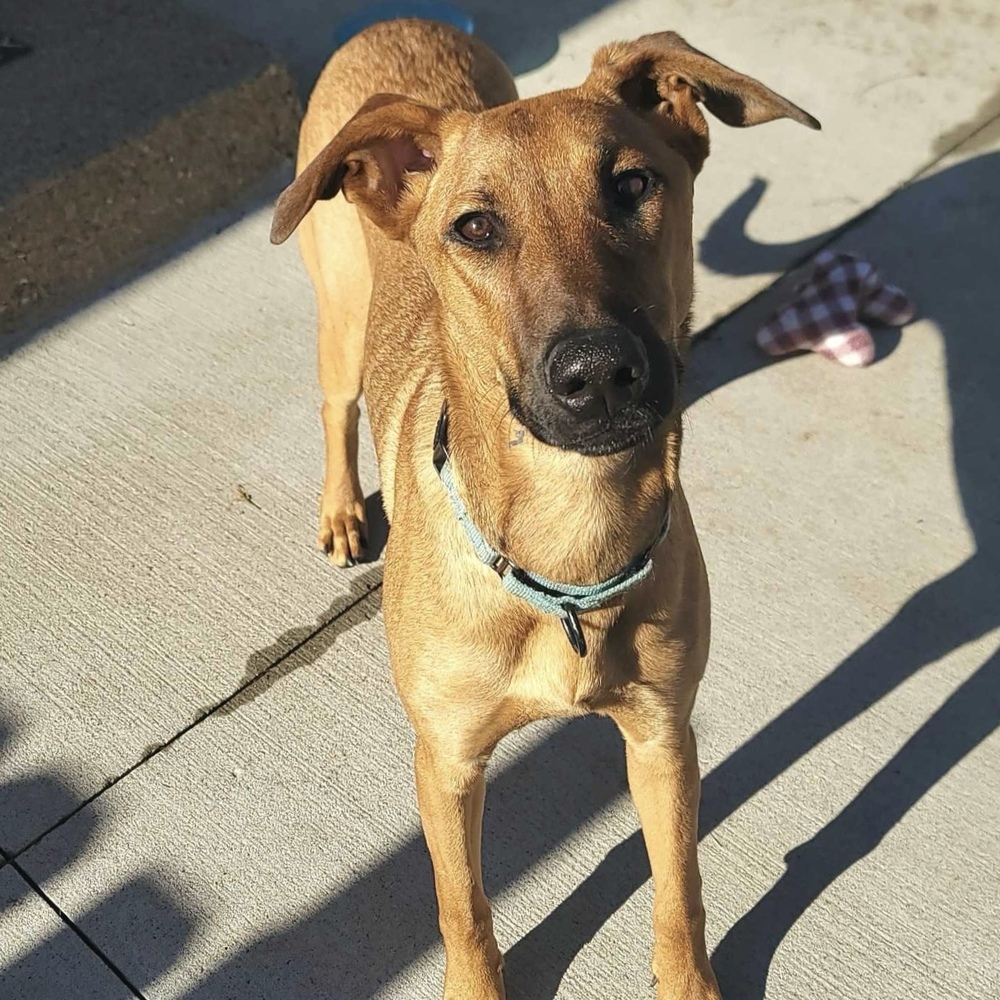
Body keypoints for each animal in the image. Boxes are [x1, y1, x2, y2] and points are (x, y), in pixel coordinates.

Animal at [270, 17, 816, 1000]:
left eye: (633, 184)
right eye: (475, 227)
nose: (598, 373)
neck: (571, 543)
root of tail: (397, 20)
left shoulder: (664, 737)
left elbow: (679, 889)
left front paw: (688, 981)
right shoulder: (447, 761)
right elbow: (464, 909)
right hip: (340, 315)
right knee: (337, 406)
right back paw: (342, 511)